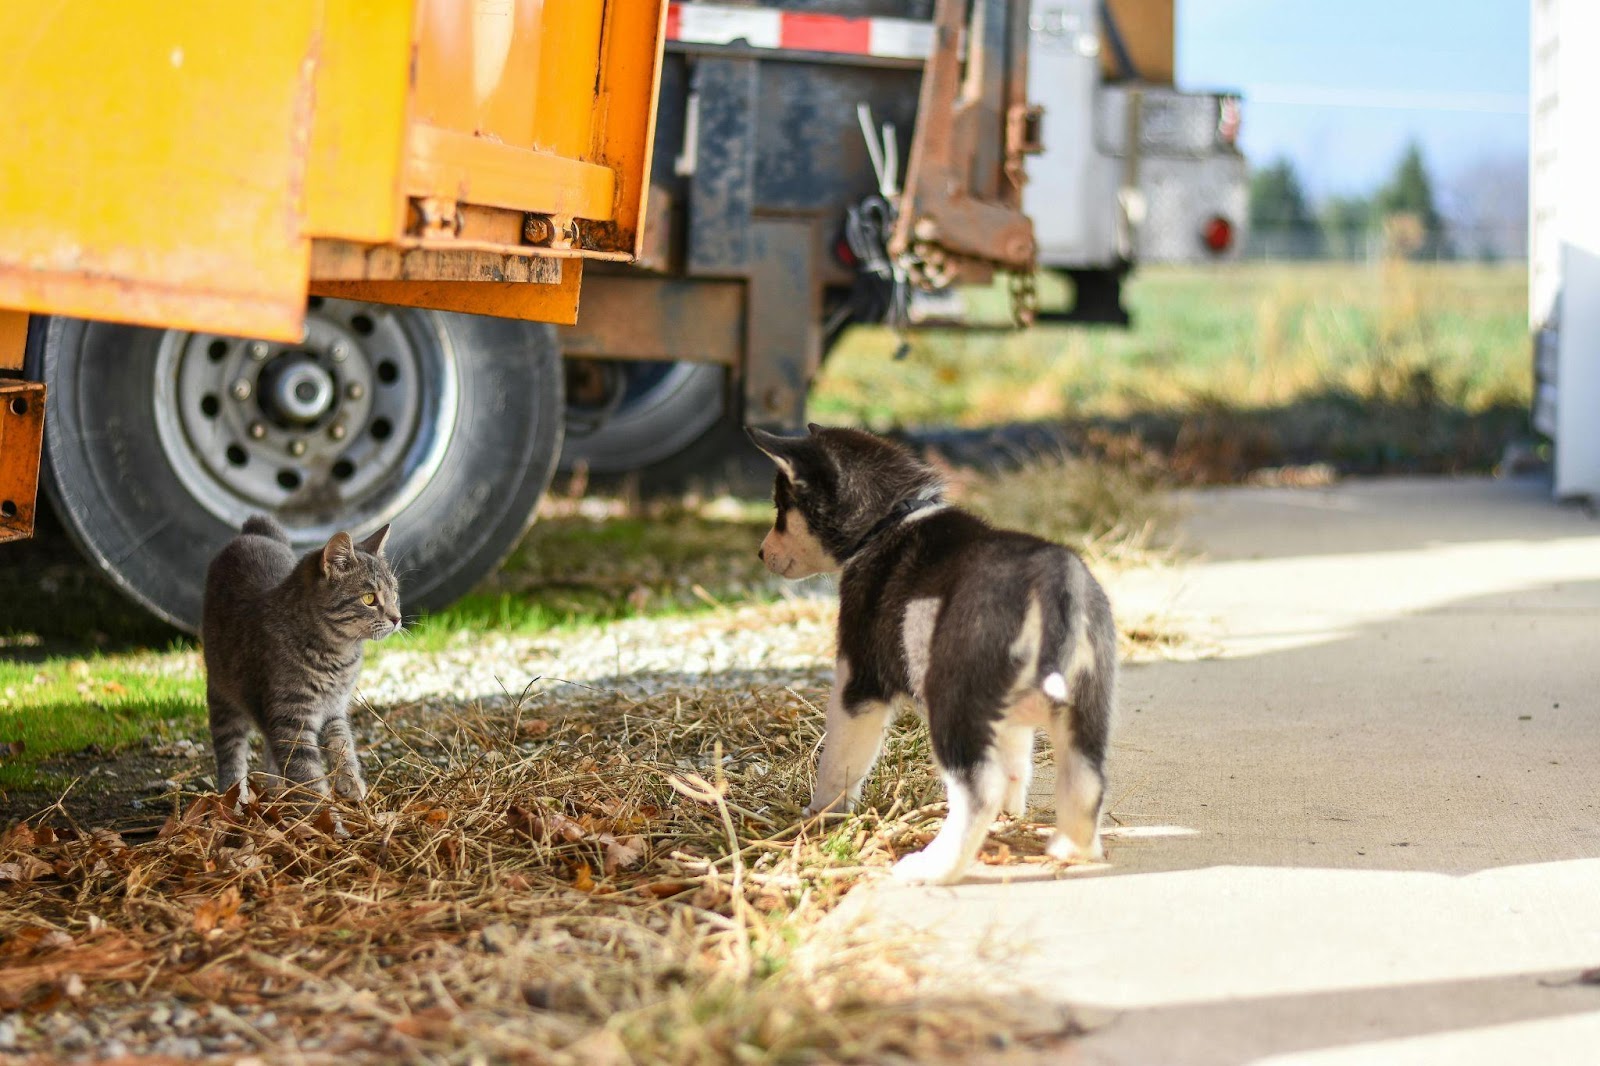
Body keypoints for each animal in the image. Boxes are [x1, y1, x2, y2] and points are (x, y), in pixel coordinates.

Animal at [200, 512, 403, 800]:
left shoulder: (334, 709)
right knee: (230, 750)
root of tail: (252, 533)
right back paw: (235, 796)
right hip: (222, 696)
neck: (338, 655)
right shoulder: (290, 718)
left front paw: (350, 783)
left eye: (394, 593)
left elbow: (342, 745)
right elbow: (305, 770)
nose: (397, 618)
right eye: (369, 598)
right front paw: (321, 807)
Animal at [745, 422, 1113, 877]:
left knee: (979, 790)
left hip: (953, 704)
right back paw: (1072, 850)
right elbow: (1016, 766)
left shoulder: (858, 679)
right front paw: (1011, 819)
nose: (761, 553)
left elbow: (839, 761)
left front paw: (822, 815)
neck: (890, 519)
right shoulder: (1008, 724)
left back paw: (933, 866)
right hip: (1085, 711)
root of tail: (1052, 583)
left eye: (781, 509)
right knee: (1084, 782)